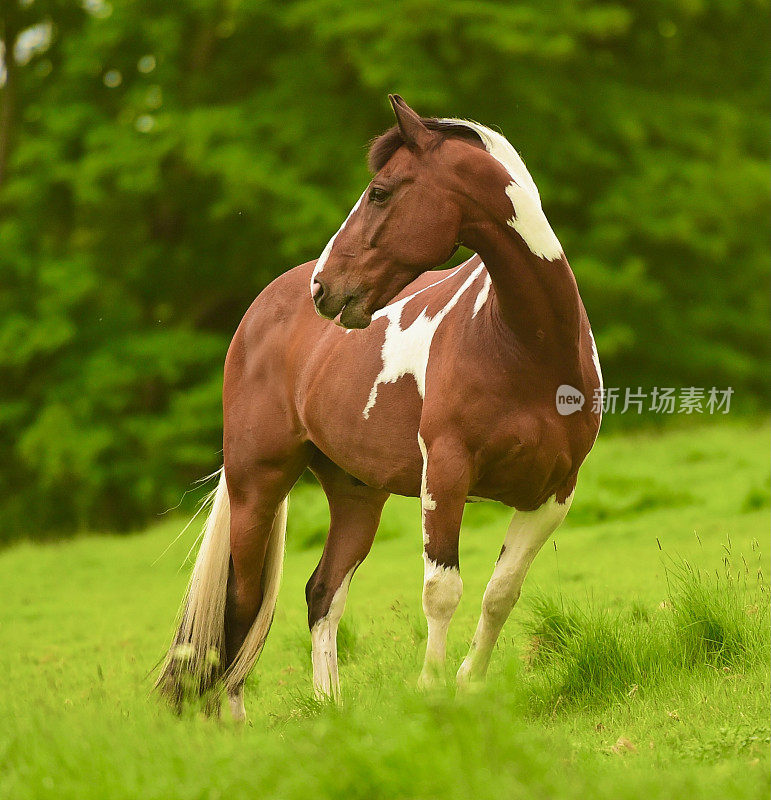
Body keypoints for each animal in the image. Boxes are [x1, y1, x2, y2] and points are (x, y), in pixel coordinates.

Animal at [155, 94, 604, 720]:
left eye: (381, 192)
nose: (324, 287)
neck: (524, 346)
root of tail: (263, 306)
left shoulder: (553, 494)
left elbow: (501, 593)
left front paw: (469, 685)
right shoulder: (446, 476)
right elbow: (443, 591)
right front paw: (433, 690)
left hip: (356, 497)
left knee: (321, 593)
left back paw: (330, 709)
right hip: (256, 486)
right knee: (241, 603)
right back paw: (232, 719)